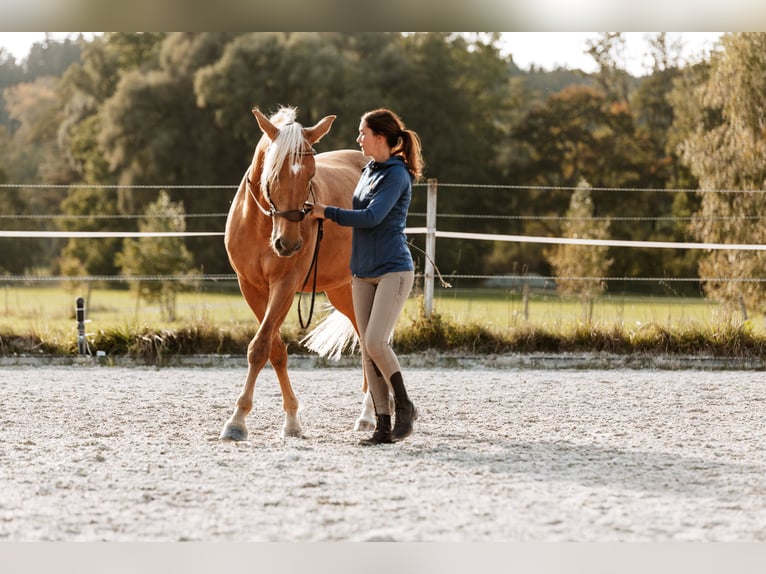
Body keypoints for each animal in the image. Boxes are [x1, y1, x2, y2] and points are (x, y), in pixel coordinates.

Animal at [220, 106, 375, 441]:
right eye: (273, 173)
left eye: (310, 175)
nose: (288, 244)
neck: (262, 225)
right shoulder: (251, 288)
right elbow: (274, 349)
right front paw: (289, 419)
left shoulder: (285, 285)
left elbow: (260, 347)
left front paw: (238, 421)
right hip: (342, 291)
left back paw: (370, 413)